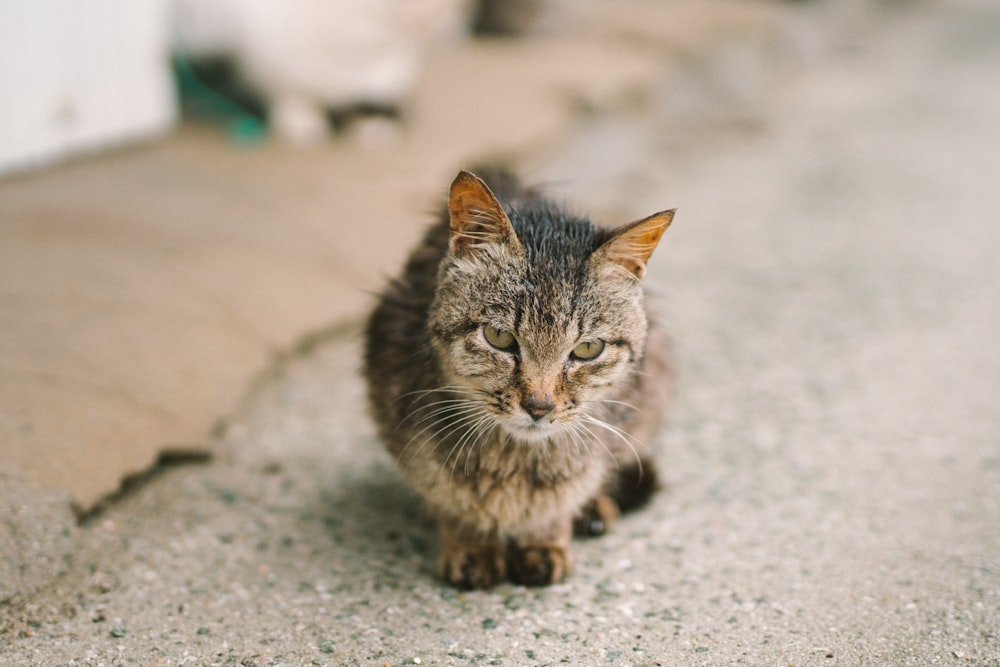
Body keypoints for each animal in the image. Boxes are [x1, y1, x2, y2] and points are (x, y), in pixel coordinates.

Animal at [364, 168, 676, 588]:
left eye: (587, 349)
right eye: (499, 337)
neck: (516, 463)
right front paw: (472, 547)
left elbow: (560, 502)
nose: (539, 407)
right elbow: (450, 498)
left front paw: (545, 542)